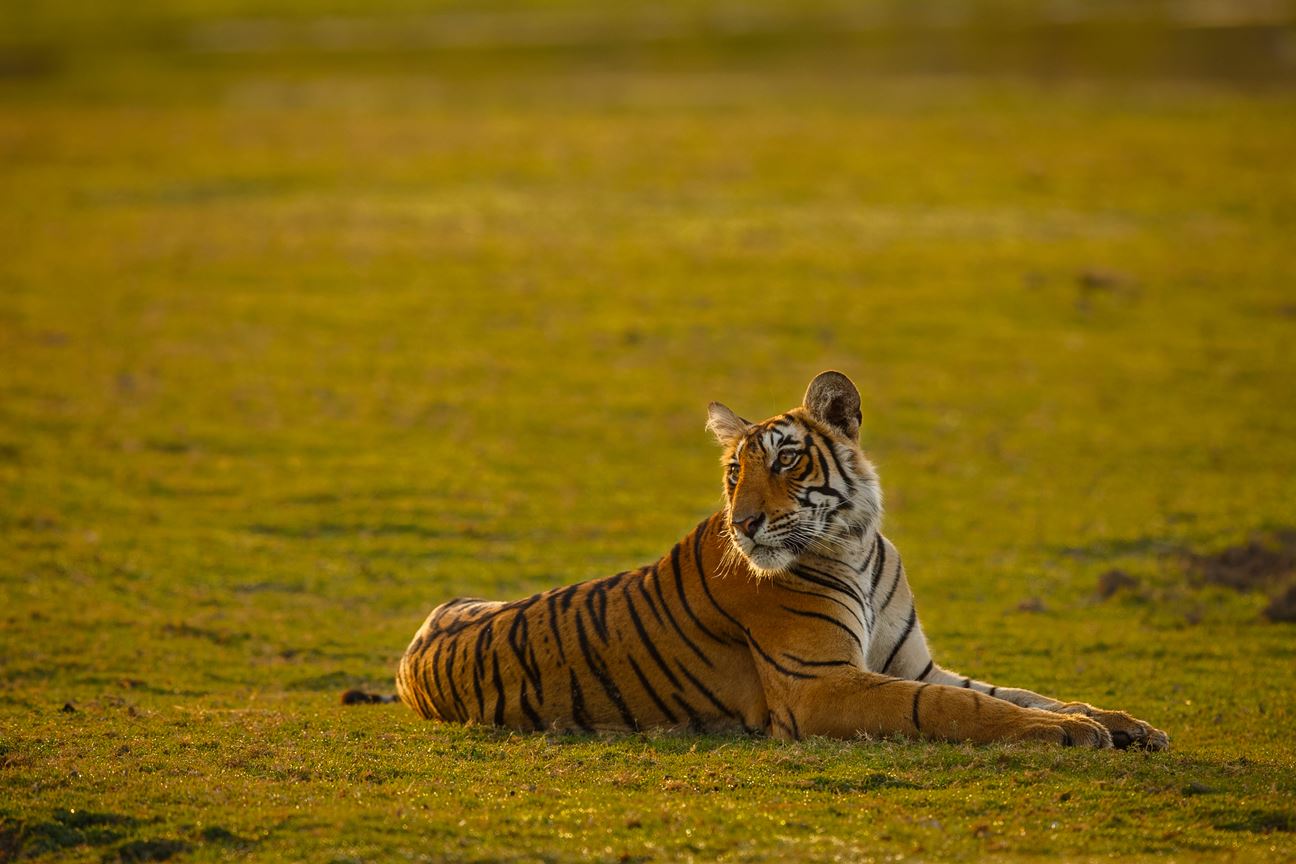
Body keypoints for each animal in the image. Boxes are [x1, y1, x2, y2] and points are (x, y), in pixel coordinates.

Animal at [388, 373, 1171, 751]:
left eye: (785, 460)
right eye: (735, 472)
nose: (744, 523)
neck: (855, 543)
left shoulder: (911, 663)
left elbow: (1017, 691)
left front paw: (1120, 722)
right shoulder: (821, 684)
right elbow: (958, 708)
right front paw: (1065, 735)